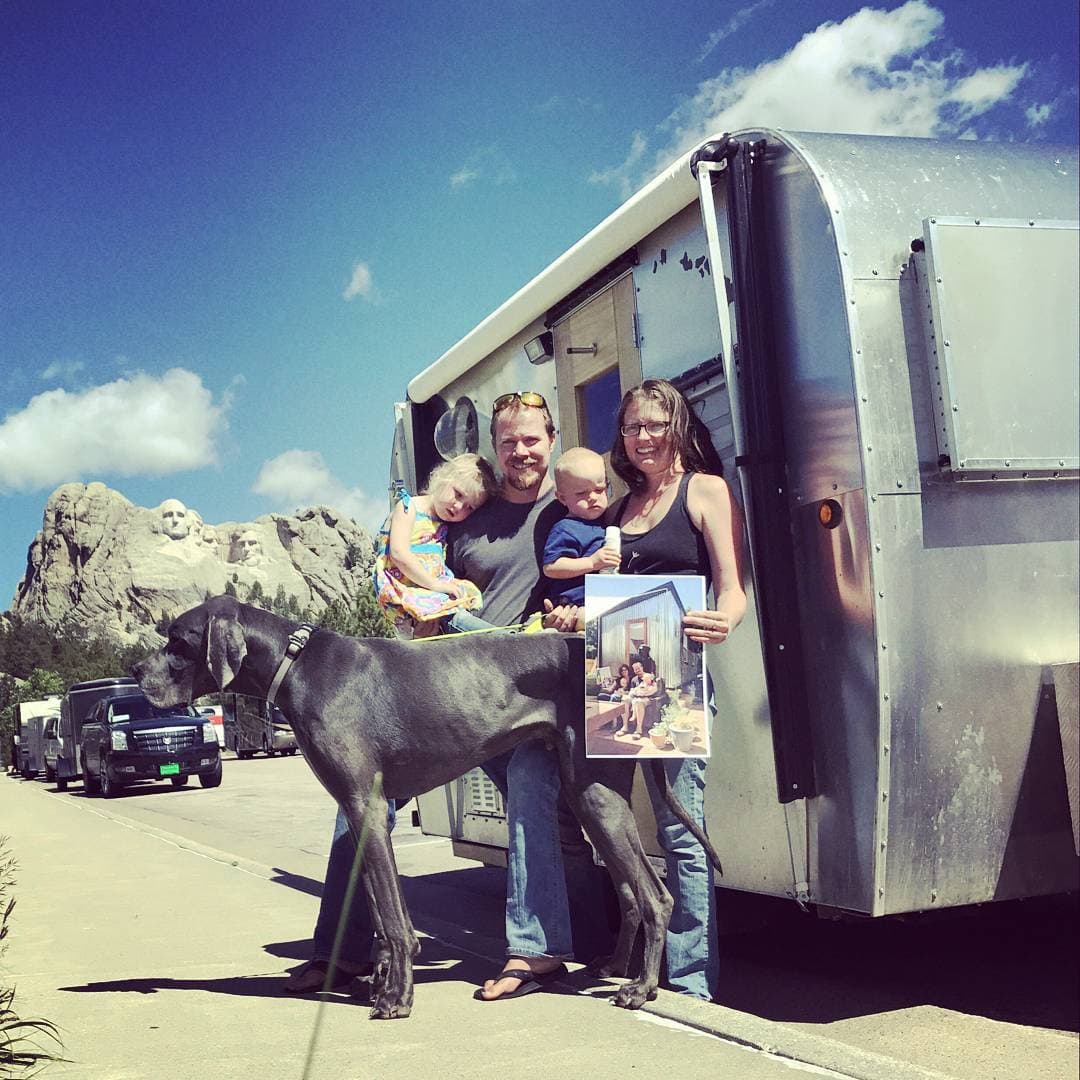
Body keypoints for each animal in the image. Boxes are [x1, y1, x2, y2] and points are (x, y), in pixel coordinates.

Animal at [137, 596, 725, 1015]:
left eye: (177, 640)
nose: (139, 676)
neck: (295, 664)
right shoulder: (362, 814)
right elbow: (378, 909)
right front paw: (378, 981)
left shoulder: (366, 806)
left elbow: (395, 918)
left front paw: (396, 997)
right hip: (591, 794)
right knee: (630, 891)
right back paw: (612, 967)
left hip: (593, 793)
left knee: (656, 897)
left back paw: (639, 988)